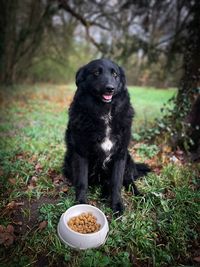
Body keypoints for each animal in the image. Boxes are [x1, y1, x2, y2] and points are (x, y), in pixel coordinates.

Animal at [63, 59, 149, 215]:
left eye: (115, 74)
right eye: (96, 72)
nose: (110, 89)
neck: (105, 113)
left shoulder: (120, 154)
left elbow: (116, 183)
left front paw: (117, 205)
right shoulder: (81, 153)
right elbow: (82, 181)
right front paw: (80, 202)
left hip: (128, 158)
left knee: (128, 181)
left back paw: (139, 195)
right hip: (68, 161)